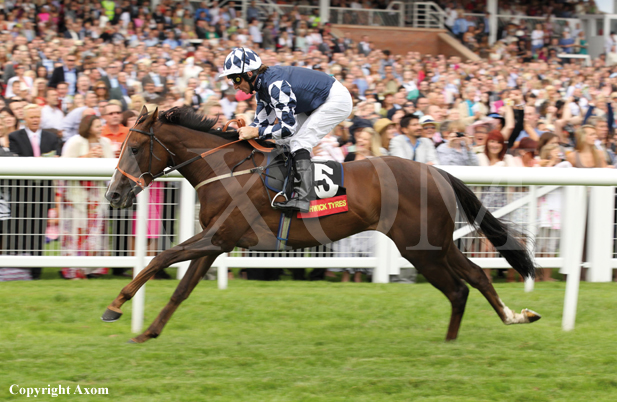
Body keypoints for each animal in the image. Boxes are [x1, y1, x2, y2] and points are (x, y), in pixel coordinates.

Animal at [101, 108, 540, 344]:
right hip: (436, 245)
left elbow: (162, 257)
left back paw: (456, 340)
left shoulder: (216, 236)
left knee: (459, 287)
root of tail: (436, 171)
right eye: (121, 145)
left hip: (422, 247)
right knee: (475, 278)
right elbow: (181, 290)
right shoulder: (216, 242)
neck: (225, 169)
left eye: (135, 147)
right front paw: (147, 333)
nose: (114, 195)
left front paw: (115, 306)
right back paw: (505, 321)